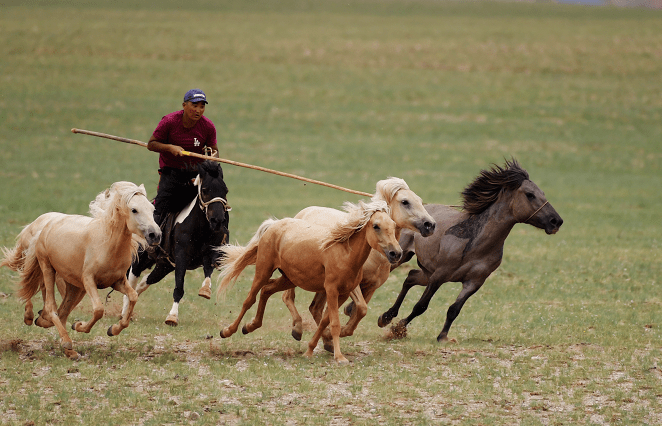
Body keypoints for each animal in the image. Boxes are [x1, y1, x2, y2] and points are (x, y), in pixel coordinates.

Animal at [13, 181, 161, 358]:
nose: (155, 235)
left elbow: (133, 297)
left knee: (62, 310)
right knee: (51, 306)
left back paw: (51, 331)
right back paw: (65, 342)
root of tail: (45, 224)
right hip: (47, 267)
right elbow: (98, 310)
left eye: (152, 209)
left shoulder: (117, 282)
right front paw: (79, 326)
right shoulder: (89, 280)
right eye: (134, 210)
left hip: (74, 286)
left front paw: (113, 329)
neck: (107, 244)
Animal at [121, 161, 231, 326]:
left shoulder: (209, 254)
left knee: (144, 283)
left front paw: (205, 290)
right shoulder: (181, 258)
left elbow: (208, 270)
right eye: (205, 190)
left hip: (164, 266)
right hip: (140, 259)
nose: (217, 221)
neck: (200, 228)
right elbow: (179, 287)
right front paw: (172, 317)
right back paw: (123, 314)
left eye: (225, 191)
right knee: (132, 281)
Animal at [220, 200, 402, 362]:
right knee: (249, 299)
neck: (344, 253)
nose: (396, 253)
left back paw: (250, 326)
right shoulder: (332, 290)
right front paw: (339, 357)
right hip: (263, 270)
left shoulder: (343, 293)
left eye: (393, 225)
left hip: (289, 279)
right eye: (376, 226)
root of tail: (275, 224)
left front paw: (310, 350)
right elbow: (334, 323)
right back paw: (227, 331)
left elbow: (325, 321)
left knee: (266, 290)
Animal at [278, 176, 436, 346]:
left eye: (419, 200)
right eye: (405, 202)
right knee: (288, 297)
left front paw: (339, 333)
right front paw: (339, 332)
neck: (375, 255)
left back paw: (326, 340)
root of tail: (304, 212)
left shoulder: (371, 287)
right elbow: (360, 308)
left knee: (315, 308)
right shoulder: (353, 285)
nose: (430, 224)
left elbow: (360, 311)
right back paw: (298, 328)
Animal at [378, 160, 564, 342]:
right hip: (402, 259)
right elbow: (421, 306)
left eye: (542, 193)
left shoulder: (473, 282)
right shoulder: (440, 276)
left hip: (427, 273)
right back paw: (385, 317)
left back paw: (387, 315)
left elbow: (454, 310)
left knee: (410, 277)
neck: (476, 243)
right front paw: (398, 329)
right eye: (530, 194)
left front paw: (442, 337)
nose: (556, 221)